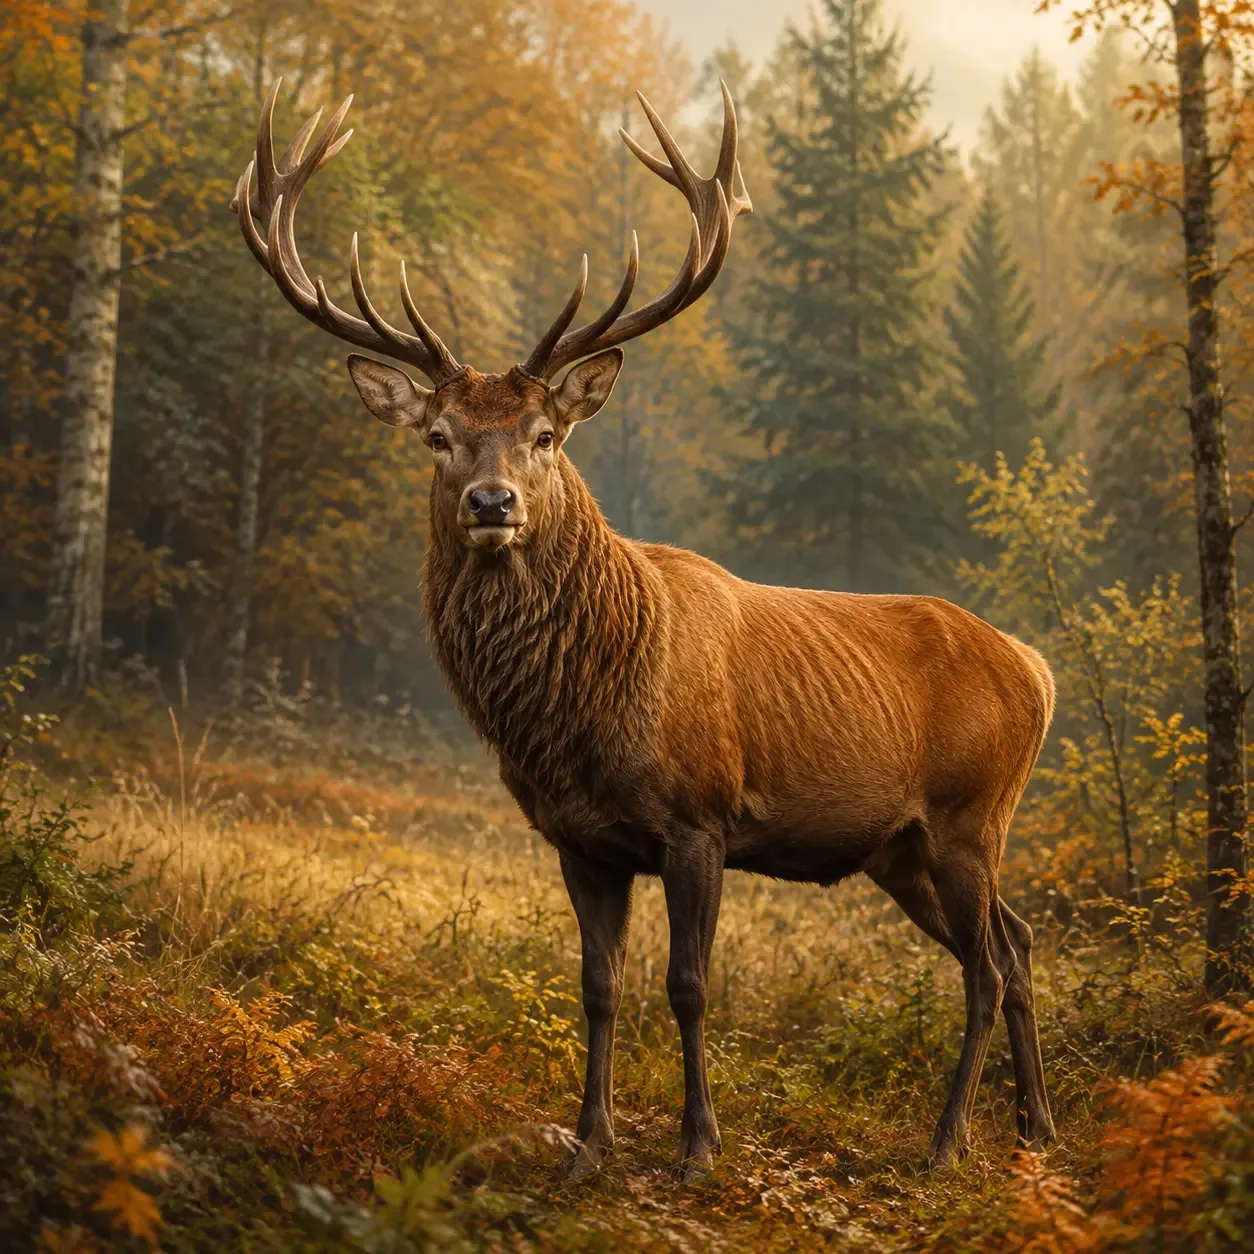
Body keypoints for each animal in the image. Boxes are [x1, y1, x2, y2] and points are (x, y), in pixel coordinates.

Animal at [231, 79, 1057, 1181]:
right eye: (439, 438)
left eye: (545, 435)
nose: (492, 502)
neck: (581, 714)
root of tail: (1035, 667)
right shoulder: (580, 839)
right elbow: (598, 986)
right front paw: (588, 1144)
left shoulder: (698, 817)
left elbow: (689, 985)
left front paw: (697, 1147)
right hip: (901, 846)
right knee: (1013, 942)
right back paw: (1035, 1128)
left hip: (973, 811)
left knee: (986, 964)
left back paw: (947, 1143)